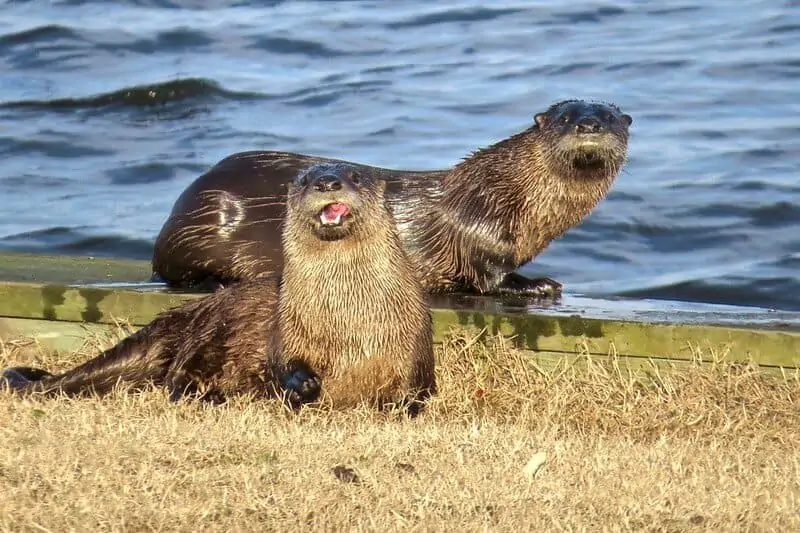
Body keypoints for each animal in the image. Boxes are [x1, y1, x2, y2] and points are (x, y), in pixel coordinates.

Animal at [153, 98, 632, 300]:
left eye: (609, 117)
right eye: (565, 117)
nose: (589, 125)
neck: (511, 193)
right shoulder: (478, 231)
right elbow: (488, 276)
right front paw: (537, 284)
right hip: (206, 217)